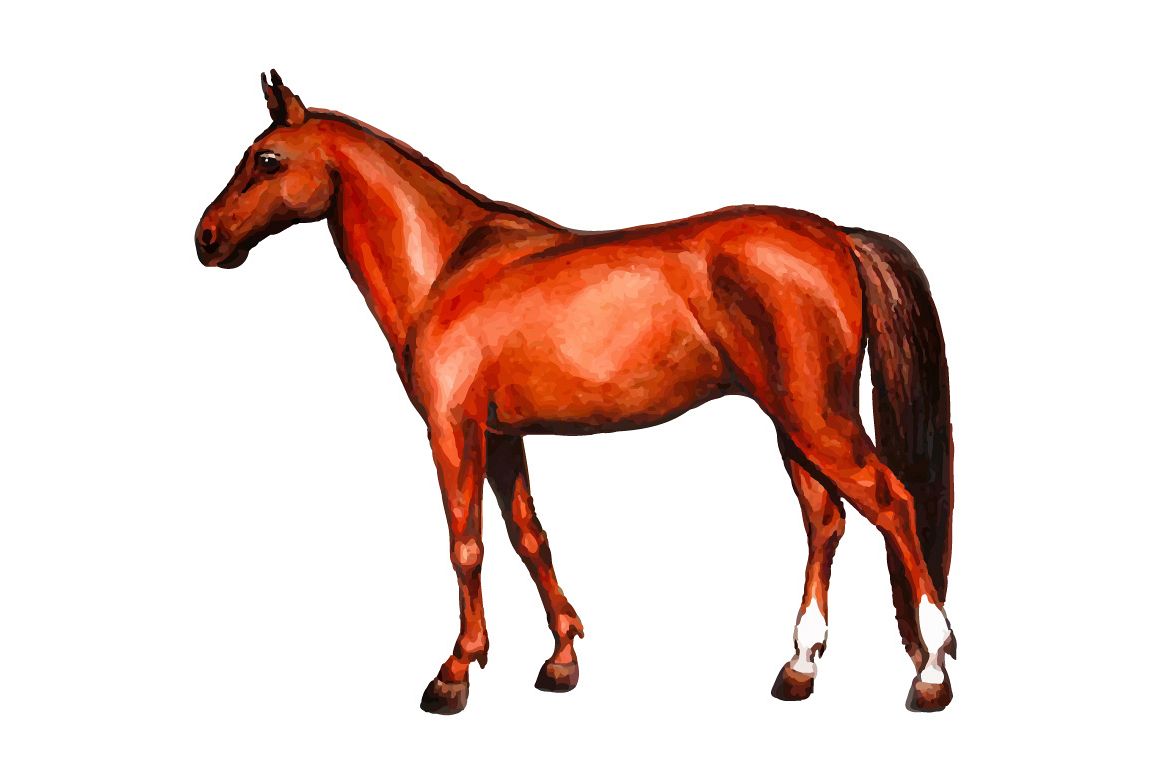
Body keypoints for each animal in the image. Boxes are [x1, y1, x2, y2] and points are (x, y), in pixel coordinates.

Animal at [195, 71, 956, 715]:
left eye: (267, 160)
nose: (207, 239)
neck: (451, 267)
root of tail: (837, 237)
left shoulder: (452, 430)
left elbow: (466, 543)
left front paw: (455, 672)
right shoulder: (501, 435)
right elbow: (529, 537)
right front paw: (561, 659)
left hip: (815, 417)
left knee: (893, 503)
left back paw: (931, 671)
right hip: (793, 424)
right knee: (826, 522)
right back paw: (799, 667)